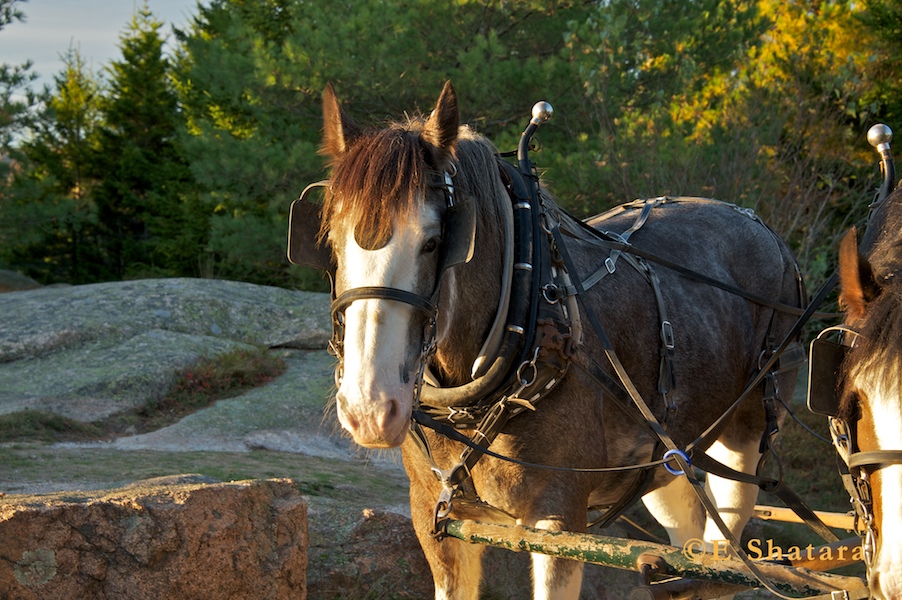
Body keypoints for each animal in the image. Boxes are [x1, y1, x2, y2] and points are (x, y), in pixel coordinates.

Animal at [294, 83, 804, 600]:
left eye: (435, 242)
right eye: (330, 241)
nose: (370, 408)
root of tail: (761, 226)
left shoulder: (558, 519)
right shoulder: (434, 518)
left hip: (747, 432)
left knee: (725, 555)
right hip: (666, 456)